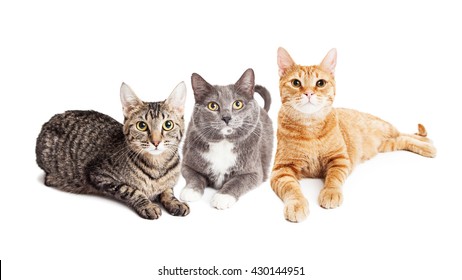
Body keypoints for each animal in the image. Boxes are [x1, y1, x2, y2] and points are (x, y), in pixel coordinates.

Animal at [34, 82, 189, 220]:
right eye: (142, 126)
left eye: (168, 125)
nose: (156, 142)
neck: (157, 166)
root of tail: (49, 121)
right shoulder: (99, 174)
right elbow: (131, 190)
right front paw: (147, 205)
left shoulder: (169, 183)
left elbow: (168, 189)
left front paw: (175, 202)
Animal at [180, 69, 274, 209]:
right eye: (212, 106)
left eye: (238, 104)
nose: (226, 117)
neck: (223, 143)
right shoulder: (187, 163)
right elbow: (194, 176)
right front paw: (190, 191)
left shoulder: (255, 173)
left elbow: (238, 181)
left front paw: (222, 197)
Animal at [270, 48, 436, 223]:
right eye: (296, 83)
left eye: (320, 83)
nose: (309, 93)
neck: (311, 127)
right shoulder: (281, 170)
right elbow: (291, 188)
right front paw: (297, 204)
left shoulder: (340, 159)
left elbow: (333, 179)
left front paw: (330, 192)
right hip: (386, 144)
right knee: (402, 139)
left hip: (384, 127)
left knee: (405, 133)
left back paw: (428, 145)